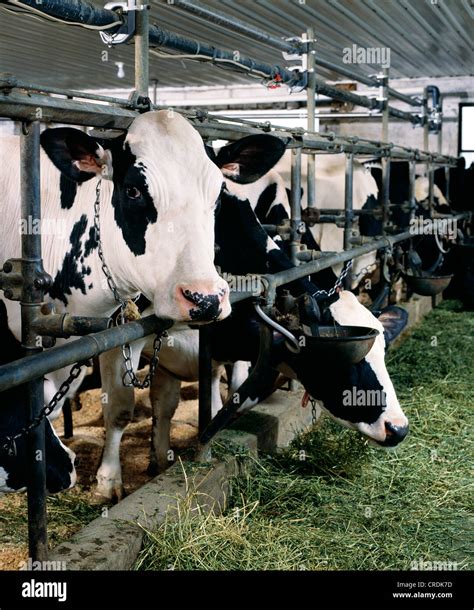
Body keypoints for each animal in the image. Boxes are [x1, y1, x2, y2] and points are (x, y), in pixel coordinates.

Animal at [0, 109, 231, 492]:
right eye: (134, 190)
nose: (206, 298)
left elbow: (119, 407)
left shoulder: (115, 328)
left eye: (218, 195)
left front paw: (108, 479)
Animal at [98, 134, 410, 494]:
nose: (398, 427)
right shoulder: (123, 329)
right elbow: (121, 409)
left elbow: (188, 401)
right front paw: (108, 481)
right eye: (349, 357)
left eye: (383, 352)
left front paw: (164, 459)